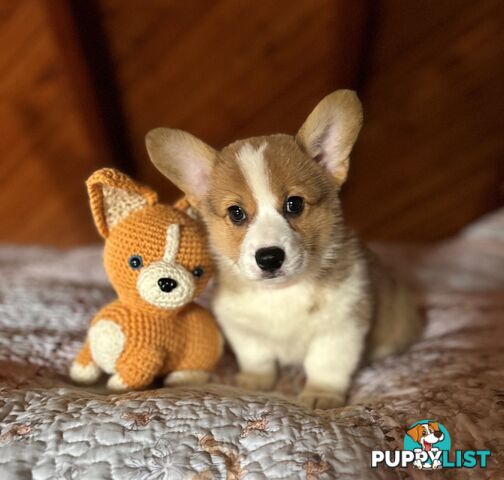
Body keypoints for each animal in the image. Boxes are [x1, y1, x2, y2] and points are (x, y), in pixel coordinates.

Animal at [146, 91, 422, 408]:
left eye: (295, 204)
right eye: (236, 213)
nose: (269, 258)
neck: (282, 293)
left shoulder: (341, 328)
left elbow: (326, 365)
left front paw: (321, 395)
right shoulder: (241, 328)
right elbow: (257, 357)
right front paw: (255, 381)